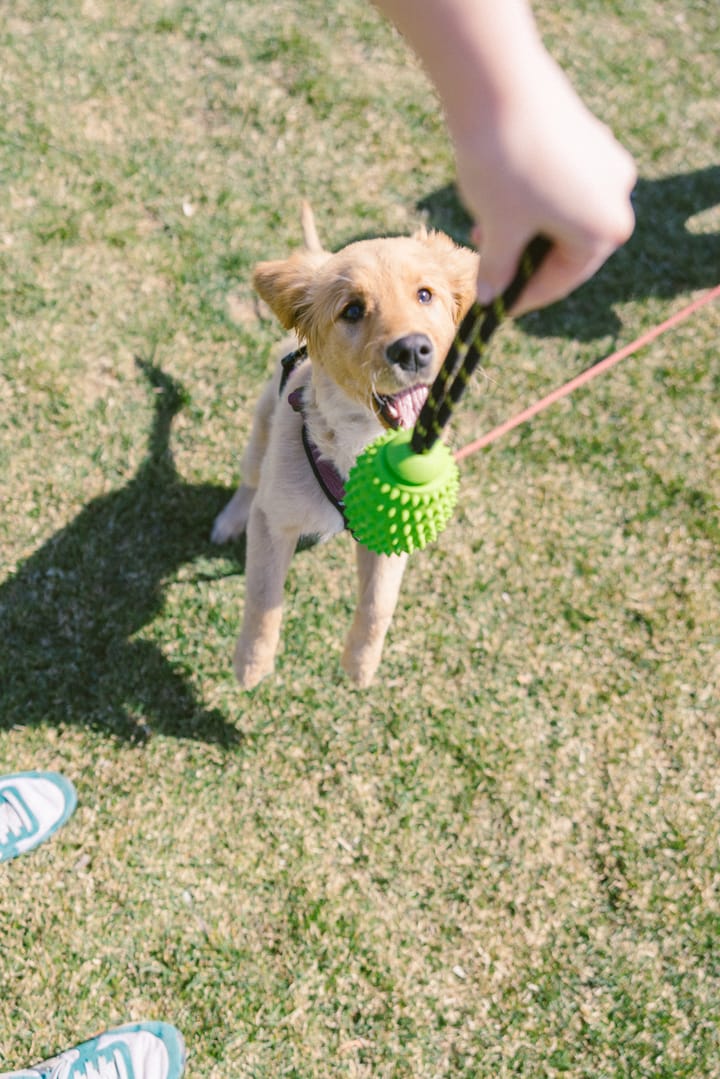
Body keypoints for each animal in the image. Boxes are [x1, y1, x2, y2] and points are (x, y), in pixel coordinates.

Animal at [212, 208, 479, 690]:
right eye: (352, 310)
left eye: (425, 295)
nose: (413, 349)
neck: (359, 442)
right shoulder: (274, 519)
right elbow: (264, 597)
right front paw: (251, 664)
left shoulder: (393, 534)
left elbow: (378, 605)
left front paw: (360, 664)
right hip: (260, 432)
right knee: (248, 483)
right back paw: (228, 521)